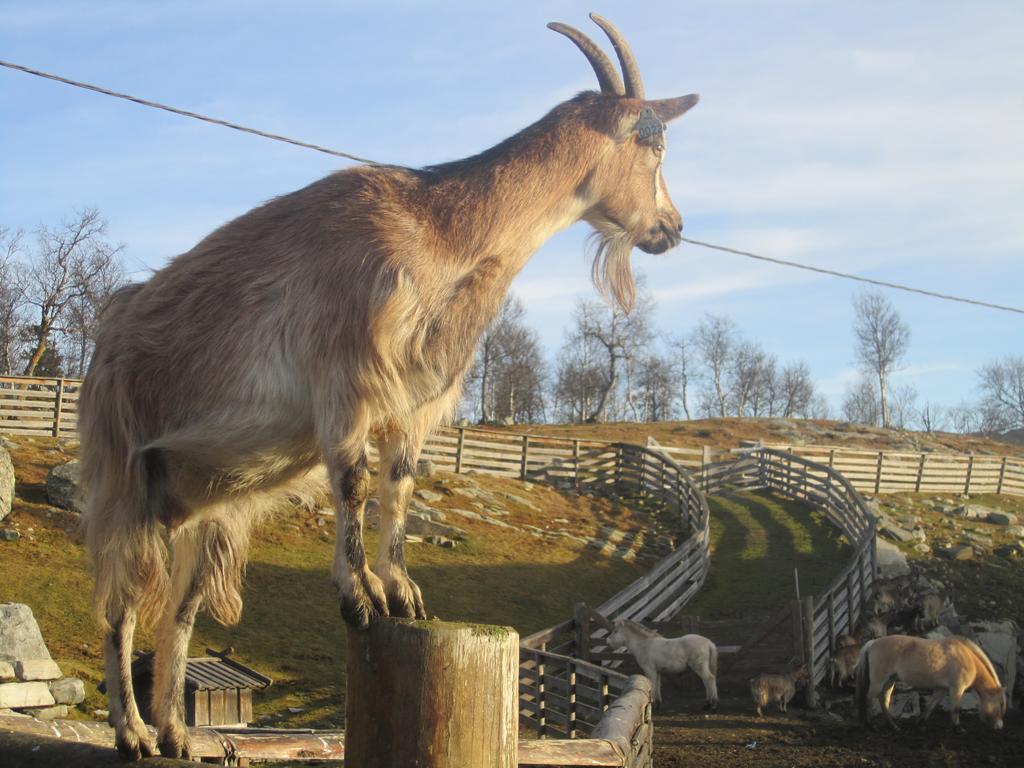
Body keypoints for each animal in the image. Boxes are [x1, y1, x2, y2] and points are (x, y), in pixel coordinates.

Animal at [79, 13, 704, 765]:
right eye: (656, 142)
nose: (673, 228)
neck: (444, 232)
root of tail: (105, 340)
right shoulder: (345, 378)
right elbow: (352, 482)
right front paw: (360, 599)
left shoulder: (414, 401)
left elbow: (399, 484)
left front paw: (403, 593)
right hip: (122, 475)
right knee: (119, 606)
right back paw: (133, 732)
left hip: (206, 507)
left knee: (179, 609)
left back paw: (175, 732)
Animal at [856, 634, 1007, 737]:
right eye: (1000, 704)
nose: (1000, 726)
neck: (966, 657)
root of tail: (873, 642)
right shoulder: (957, 689)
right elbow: (955, 709)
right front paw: (957, 728)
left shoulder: (941, 689)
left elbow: (931, 705)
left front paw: (921, 724)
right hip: (879, 681)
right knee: (869, 698)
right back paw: (871, 725)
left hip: (890, 680)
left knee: (884, 700)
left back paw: (893, 726)